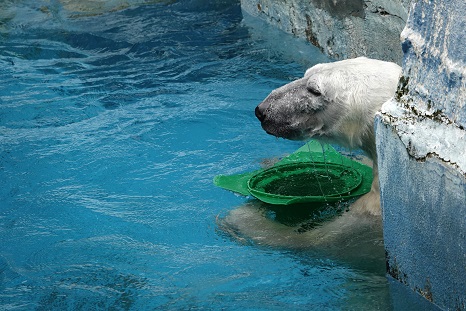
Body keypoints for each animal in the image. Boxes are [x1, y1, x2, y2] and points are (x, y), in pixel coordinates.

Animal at [220, 57, 402, 255]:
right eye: (307, 73)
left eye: (315, 90)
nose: (262, 111)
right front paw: (271, 161)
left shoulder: (365, 222)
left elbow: (307, 241)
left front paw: (242, 215)